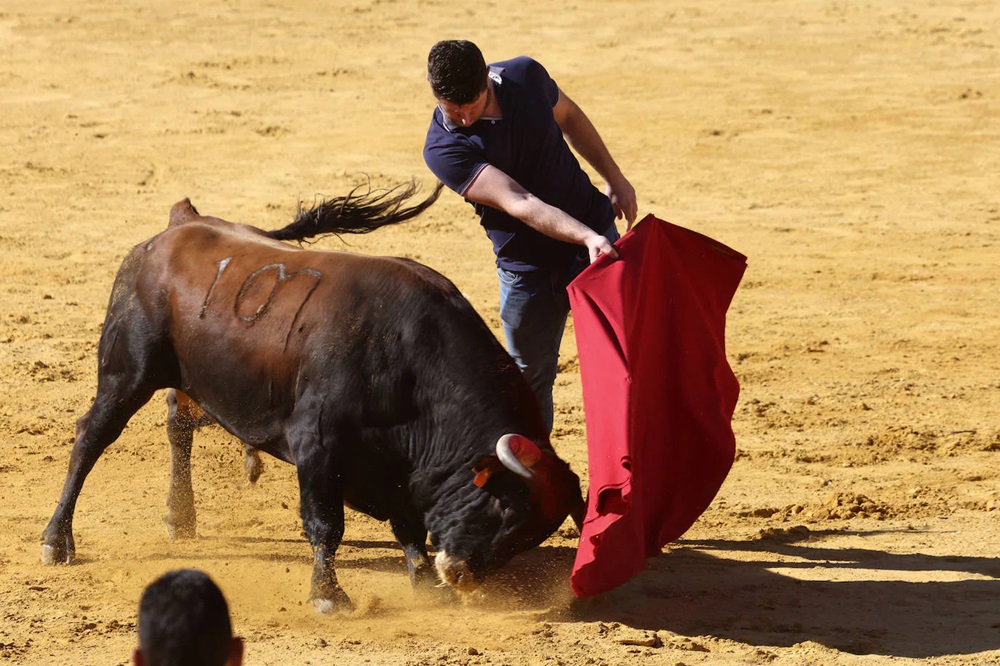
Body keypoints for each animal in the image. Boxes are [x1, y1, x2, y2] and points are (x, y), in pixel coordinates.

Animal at [41, 180, 584, 608]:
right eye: (504, 508)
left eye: (530, 536)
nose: (462, 575)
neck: (410, 360)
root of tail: (180, 225)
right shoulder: (317, 447)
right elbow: (326, 523)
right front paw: (329, 596)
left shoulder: (398, 463)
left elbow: (408, 524)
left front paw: (425, 586)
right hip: (126, 373)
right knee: (91, 437)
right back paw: (57, 541)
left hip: (190, 379)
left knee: (179, 421)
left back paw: (180, 517)